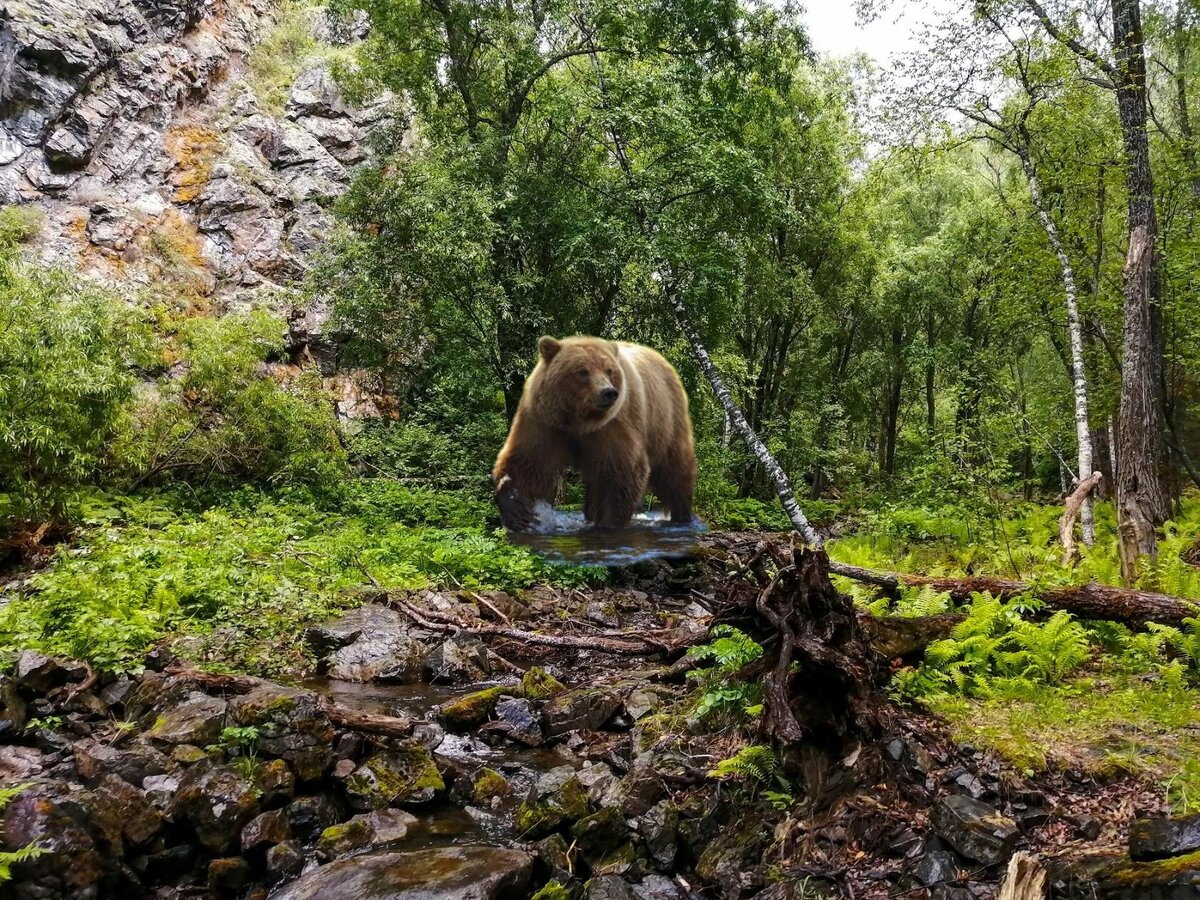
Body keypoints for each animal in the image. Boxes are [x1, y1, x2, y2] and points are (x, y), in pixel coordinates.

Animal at [494, 338, 700, 532]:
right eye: (582, 371)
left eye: (609, 370)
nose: (609, 393)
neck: (579, 421)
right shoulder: (546, 422)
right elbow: (529, 461)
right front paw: (516, 510)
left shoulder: (612, 426)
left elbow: (619, 472)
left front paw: (609, 523)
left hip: (665, 420)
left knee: (674, 468)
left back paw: (681, 514)